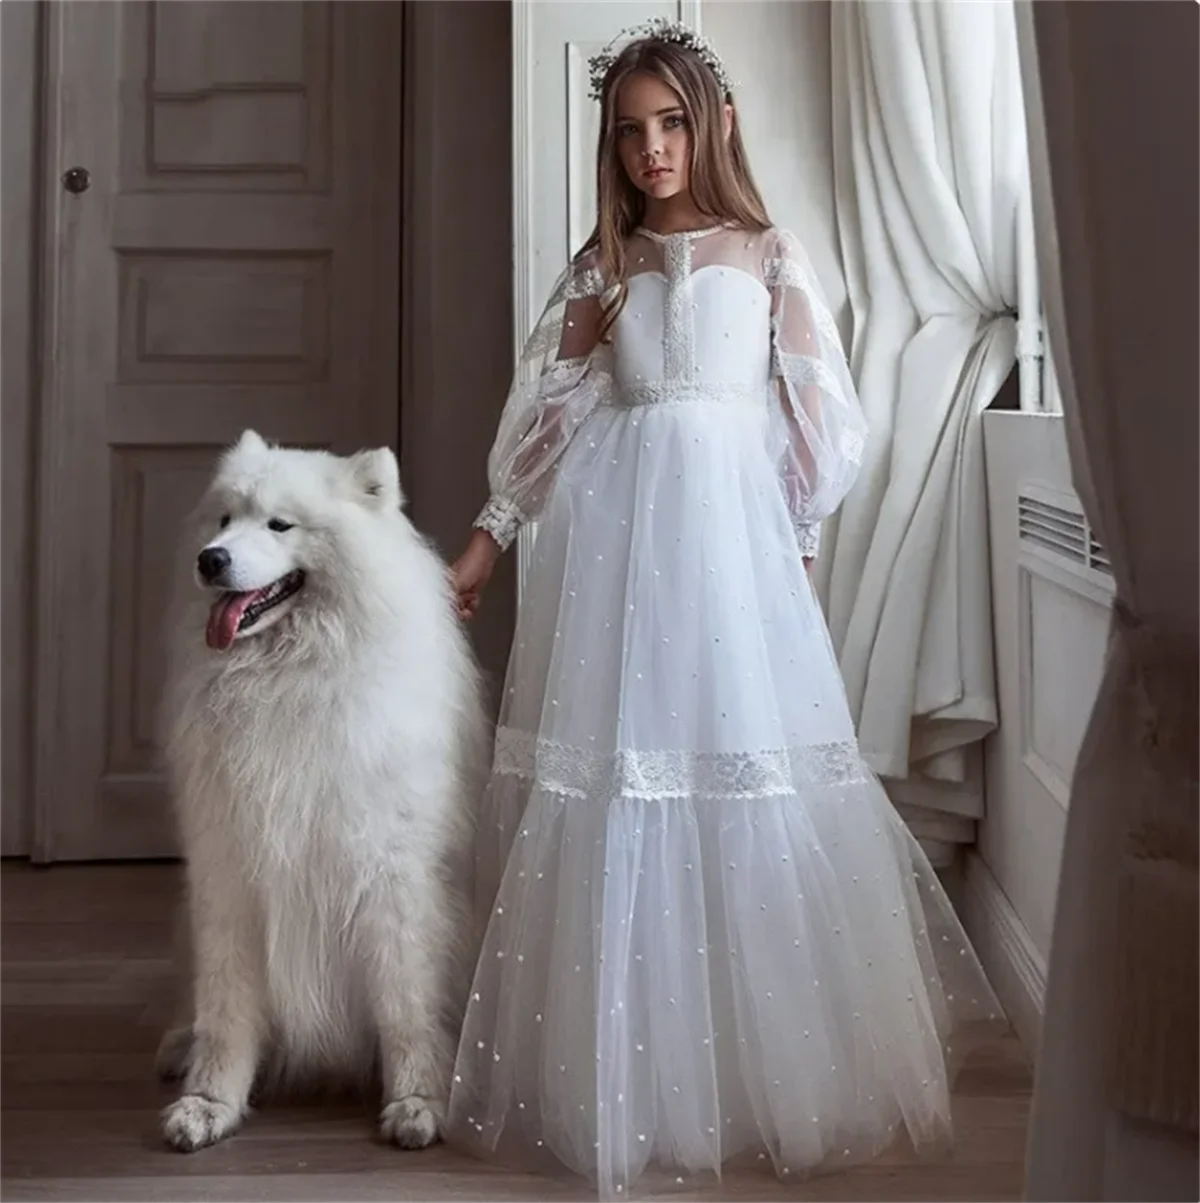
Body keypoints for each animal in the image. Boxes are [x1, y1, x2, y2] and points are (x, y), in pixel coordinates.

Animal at [158, 433, 488, 1154]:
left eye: (280, 525)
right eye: (225, 519)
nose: (210, 559)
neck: (289, 676)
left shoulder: (397, 879)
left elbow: (408, 1002)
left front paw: (418, 1100)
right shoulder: (229, 873)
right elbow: (225, 1008)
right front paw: (208, 1102)